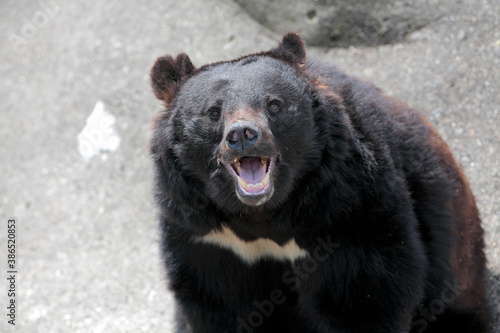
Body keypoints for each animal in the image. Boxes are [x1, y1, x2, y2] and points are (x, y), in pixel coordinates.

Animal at [147, 31, 488, 332]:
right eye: (213, 112)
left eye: (274, 105)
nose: (242, 135)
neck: (262, 214)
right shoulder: (204, 236)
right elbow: (218, 304)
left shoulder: (350, 211)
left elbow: (365, 297)